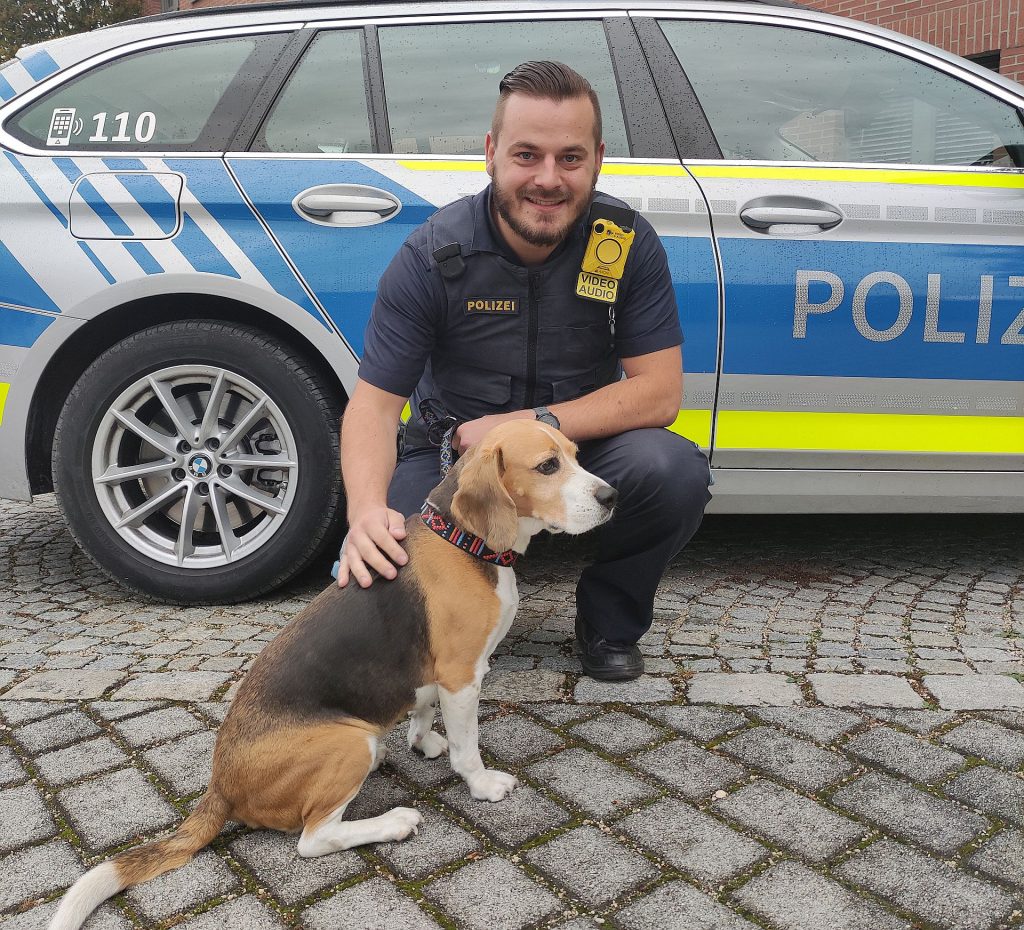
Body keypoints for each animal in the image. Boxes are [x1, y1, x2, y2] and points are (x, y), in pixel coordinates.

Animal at [51, 421, 614, 930]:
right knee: (313, 839)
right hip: (348, 745)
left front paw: (423, 742)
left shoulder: (433, 675)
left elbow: (422, 707)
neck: (464, 540)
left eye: (574, 454)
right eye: (547, 466)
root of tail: (221, 785)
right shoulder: (461, 675)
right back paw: (393, 823)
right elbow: (467, 748)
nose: (612, 497)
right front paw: (481, 784)